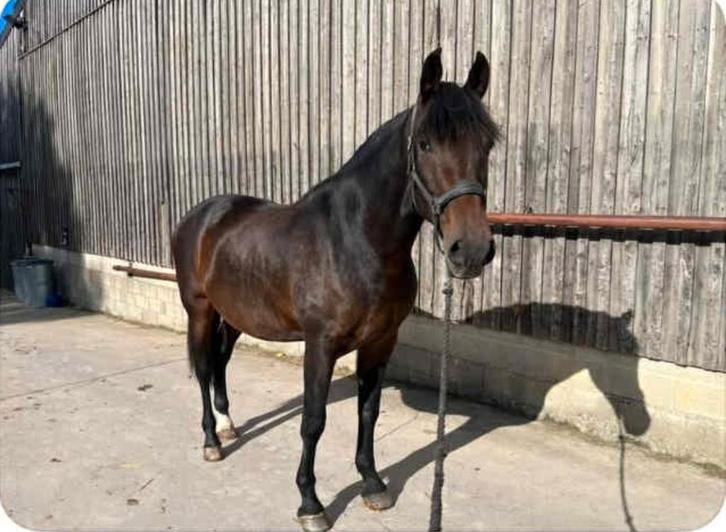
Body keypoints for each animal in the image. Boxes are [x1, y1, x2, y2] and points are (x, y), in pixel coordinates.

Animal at [171, 48, 500, 531]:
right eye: (424, 144)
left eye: (487, 145)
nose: (471, 250)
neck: (358, 241)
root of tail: (202, 216)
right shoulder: (320, 345)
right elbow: (313, 419)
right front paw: (311, 503)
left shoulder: (381, 341)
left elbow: (369, 411)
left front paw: (373, 484)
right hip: (200, 311)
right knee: (203, 366)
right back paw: (213, 441)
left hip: (233, 315)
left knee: (220, 362)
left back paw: (228, 423)